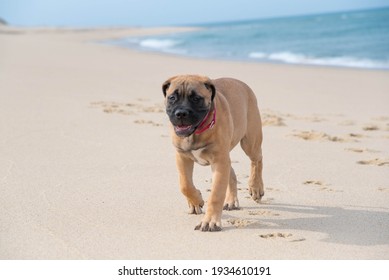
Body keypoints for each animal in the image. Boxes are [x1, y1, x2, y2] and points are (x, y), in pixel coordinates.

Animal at [161, 74, 264, 232]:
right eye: (172, 97)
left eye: (196, 98)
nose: (181, 113)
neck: (197, 132)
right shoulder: (182, 157)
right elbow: (185, 184)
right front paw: (196, 200)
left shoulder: (219, 161)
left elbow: (216, 193)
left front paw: (210, 221)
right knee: (232, 172)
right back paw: (231, 201)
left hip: (250, 141)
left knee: (257, 160)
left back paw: (256, 187)